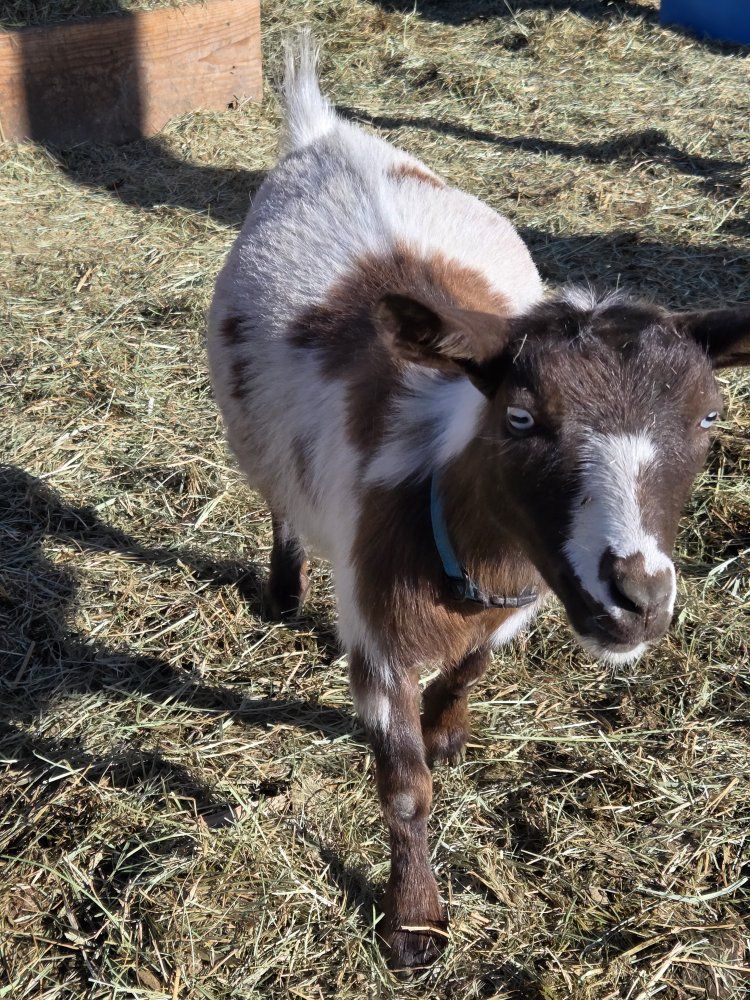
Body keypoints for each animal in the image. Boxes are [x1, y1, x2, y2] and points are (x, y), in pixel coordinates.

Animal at [208, 35, 750, 969]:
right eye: (522, 416)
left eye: (710, 415)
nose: (637, 598)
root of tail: (327, 135)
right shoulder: (377, 636)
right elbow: (404, 790)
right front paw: (415, 923)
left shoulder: (522, 595)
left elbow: (471, 669)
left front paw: (449, 731)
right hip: (255, 437)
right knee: (278, 499)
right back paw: (282, 588)